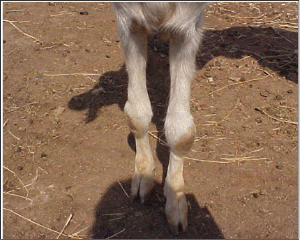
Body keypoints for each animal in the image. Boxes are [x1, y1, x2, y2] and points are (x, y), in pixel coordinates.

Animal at [112, 2, 209, 234]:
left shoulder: (188, 22)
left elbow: (181, 130)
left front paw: (176, 200)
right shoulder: (127, 17)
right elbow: (137, 112)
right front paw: (144, 173)